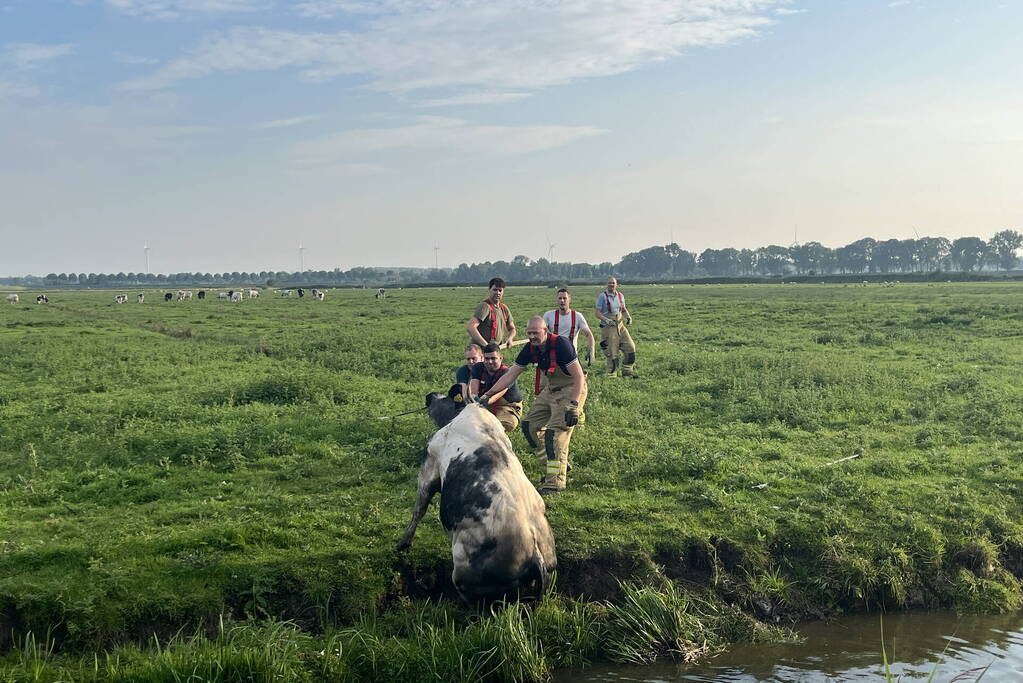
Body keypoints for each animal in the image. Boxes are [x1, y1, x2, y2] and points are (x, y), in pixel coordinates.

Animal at [396, 394, 557, 602]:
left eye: (447, 398)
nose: (430, 396)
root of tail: (537, 556)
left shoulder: (430, 465)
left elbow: (419, 508)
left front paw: (402, 544)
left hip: (464, 573)